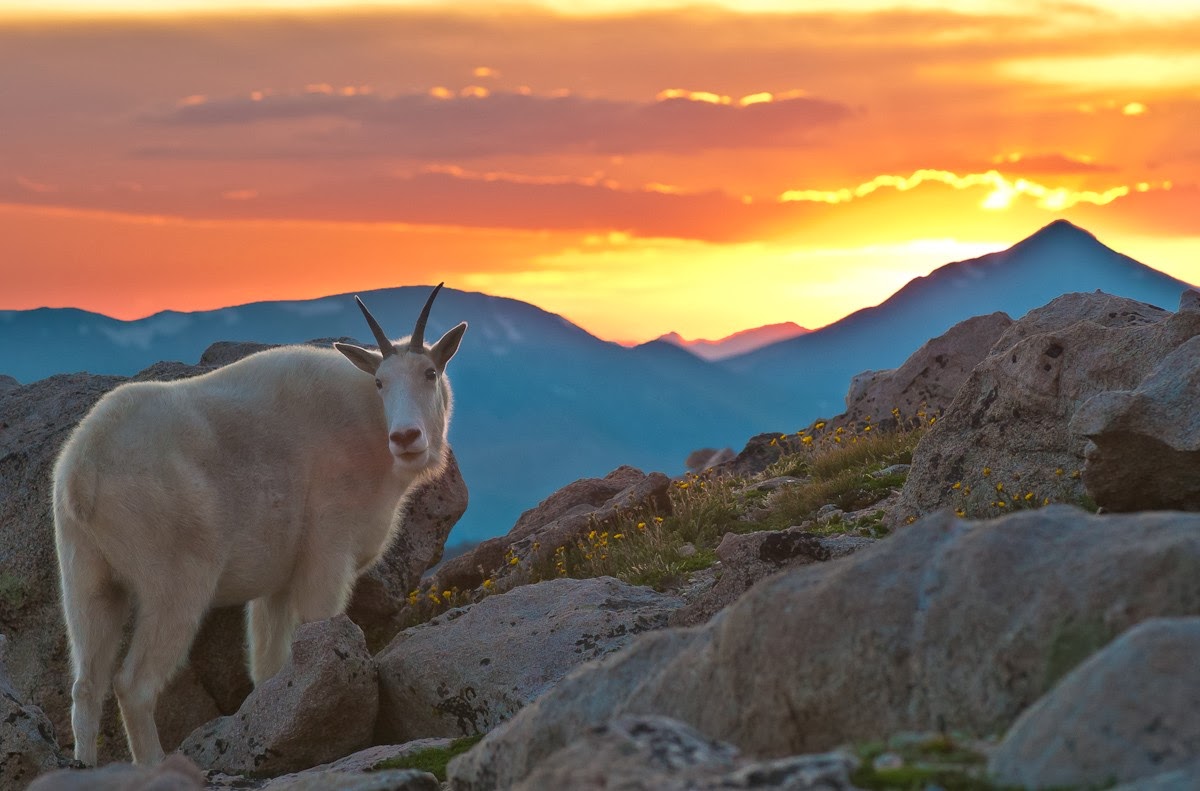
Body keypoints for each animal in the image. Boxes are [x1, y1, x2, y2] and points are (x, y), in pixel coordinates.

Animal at [52, 284, 466, 766]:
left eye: (429, 373)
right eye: (381, 381)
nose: (406, 438)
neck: (369, 424)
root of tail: (84, 471)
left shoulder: (276, 584)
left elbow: (268, 668)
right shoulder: (328, 554)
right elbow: (320, 629)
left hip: (86, 575)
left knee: (86, 685)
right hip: (175, 582)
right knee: (133, 685)